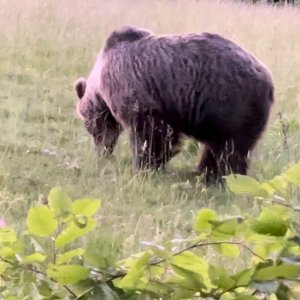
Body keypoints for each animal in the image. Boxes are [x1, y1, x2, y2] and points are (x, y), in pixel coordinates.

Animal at [74, 26, 274, 183]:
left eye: (90, 127)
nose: (102, 152)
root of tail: (268, 78)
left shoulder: (136, 91)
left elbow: (148, 133)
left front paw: (144, 166)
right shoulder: (167, 105)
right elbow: (167, 135)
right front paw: (159, 161)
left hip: (230, 103)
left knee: (230, 148)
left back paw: (224, 177)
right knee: (218, 146)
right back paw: (203, 173)